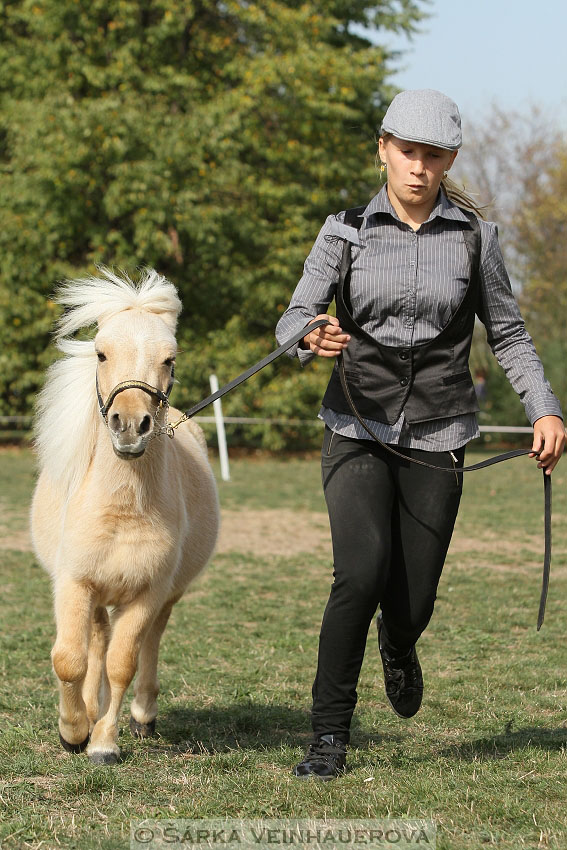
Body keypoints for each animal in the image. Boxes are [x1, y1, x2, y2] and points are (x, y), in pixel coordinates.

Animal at [30, 268, 222, 764]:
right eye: (101, 353)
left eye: (169, 359)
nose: (130, 426)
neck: (121, 510)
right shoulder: (74, 583)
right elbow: (69, 659)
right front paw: (73, 731)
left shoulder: (147, 594)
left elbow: (122, 663)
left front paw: (102, 741)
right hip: (99, 596)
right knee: (95, 642)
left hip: (166, 597)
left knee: (148, 643)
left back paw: (142, 717)